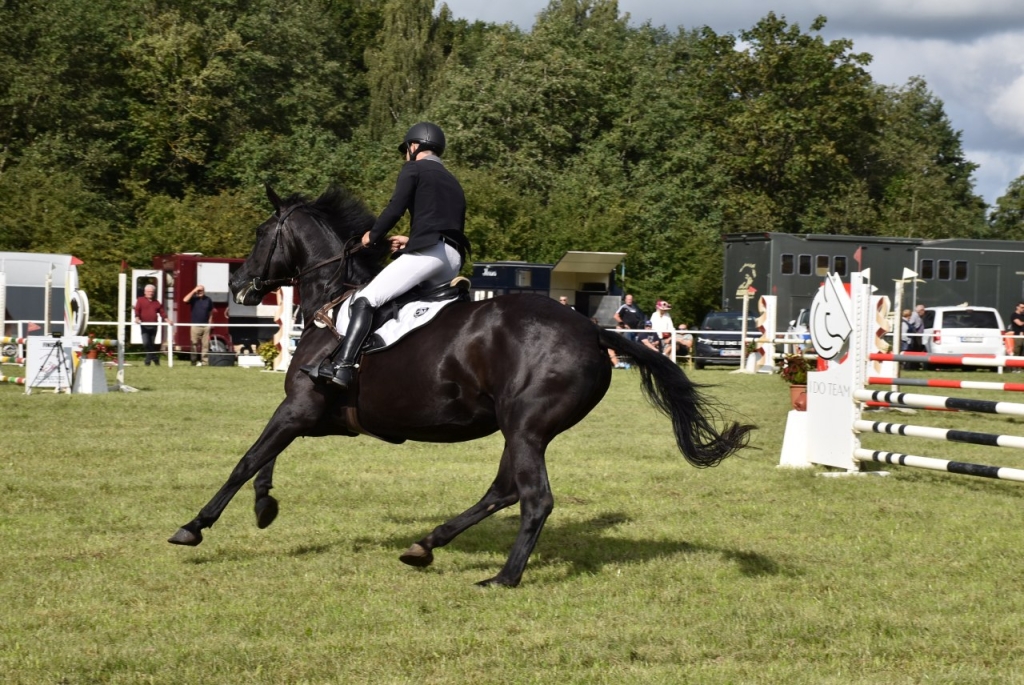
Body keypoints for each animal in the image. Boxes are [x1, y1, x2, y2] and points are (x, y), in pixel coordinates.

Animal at [169, 184, 753, 585]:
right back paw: (427, 544)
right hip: (523, 429)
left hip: (526, 427)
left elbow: (247, 459)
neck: (334, 304)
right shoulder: (320, 415)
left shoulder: (300, 407)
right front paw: (264, 508)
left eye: (261, 234)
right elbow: (265, 460)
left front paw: (194, 526)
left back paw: (503, 578)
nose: (241, 286)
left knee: (533, 499)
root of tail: (591, 329)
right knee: (504, 491)